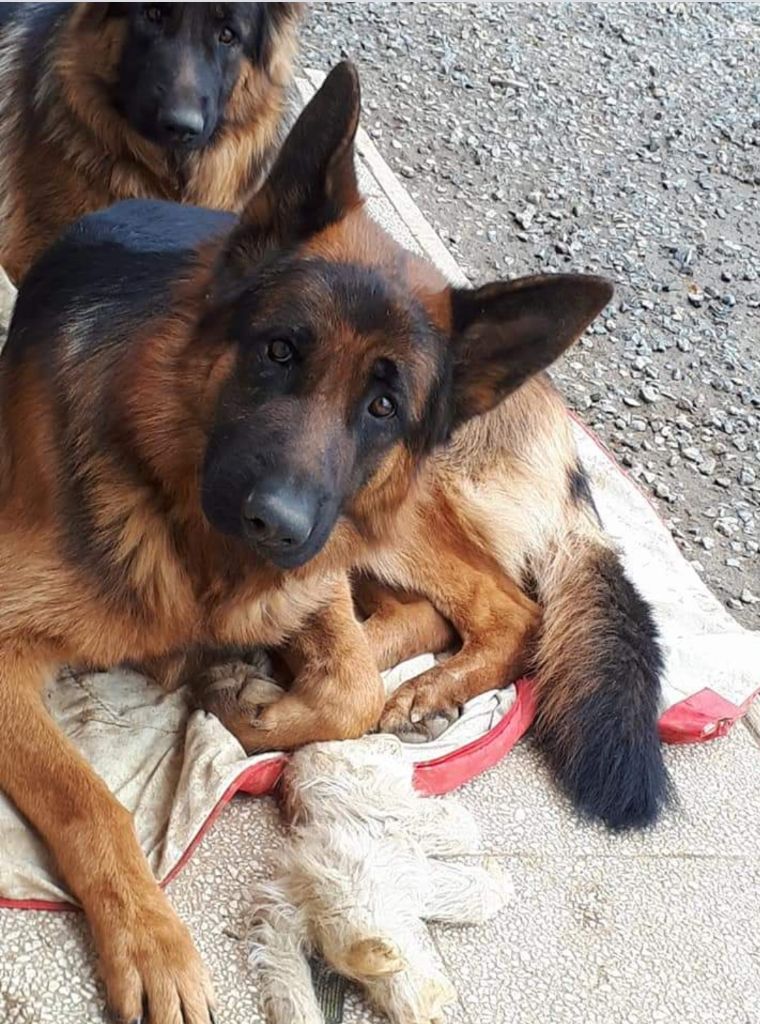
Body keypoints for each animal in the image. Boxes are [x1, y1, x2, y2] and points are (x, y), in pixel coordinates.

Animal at [248, 733, 512, 1024]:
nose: (391, 737)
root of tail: (288, 903)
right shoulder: (388, 805)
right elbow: (461, 824)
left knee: (401, 991)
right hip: (350, 905)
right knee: (344, 956)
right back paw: (377, 959)